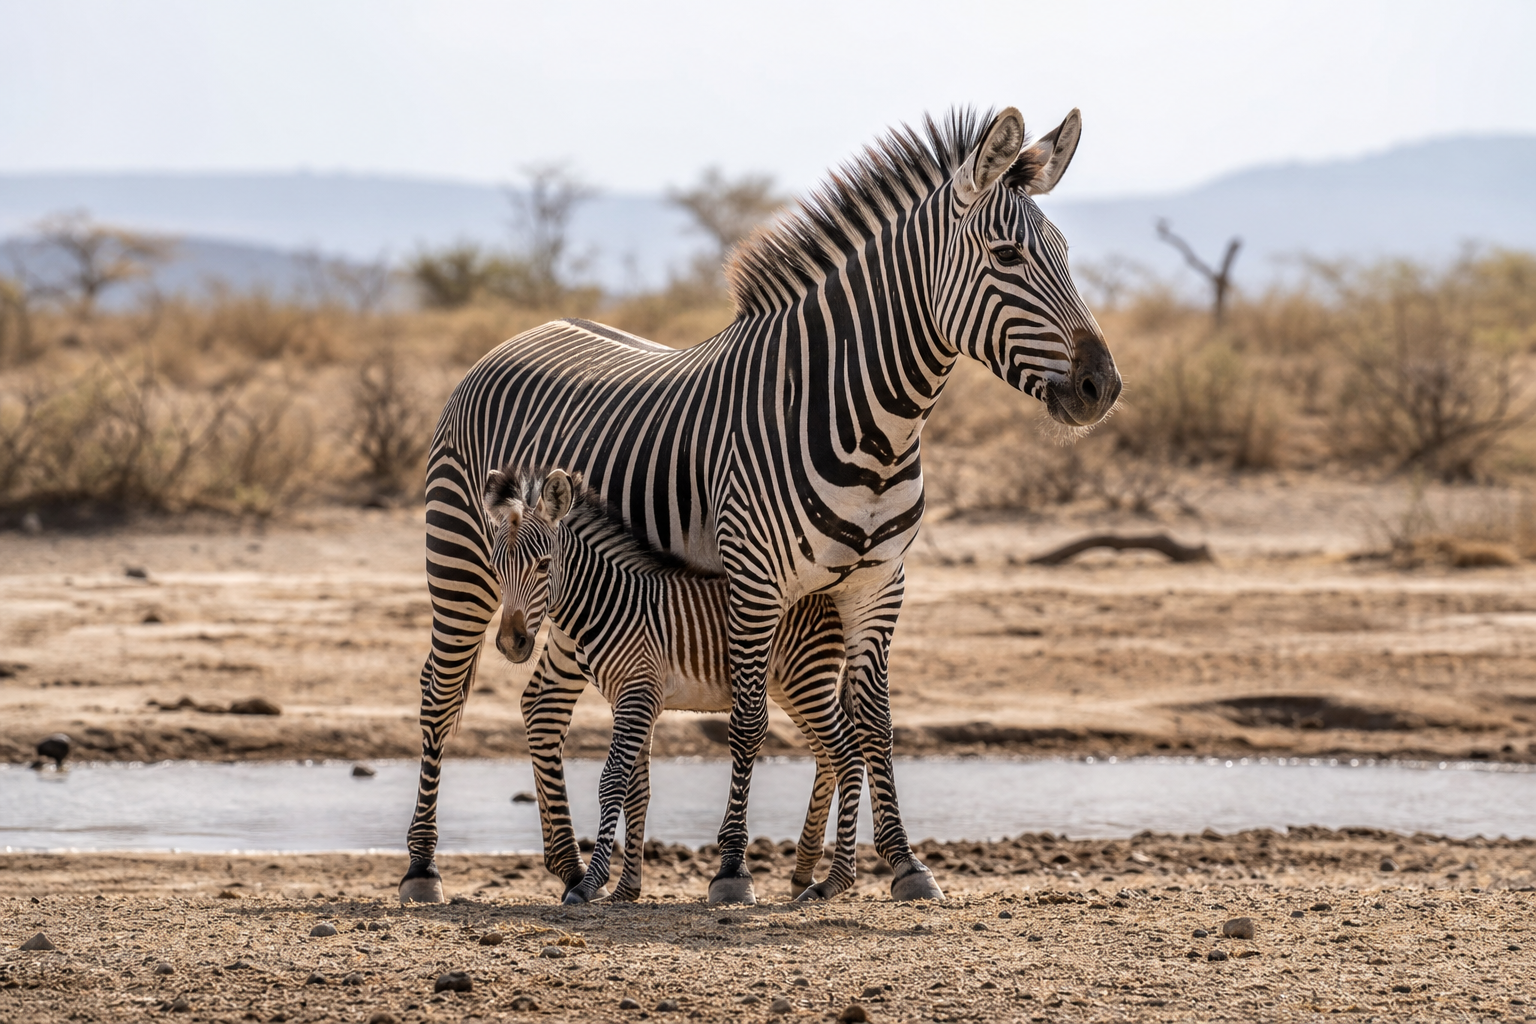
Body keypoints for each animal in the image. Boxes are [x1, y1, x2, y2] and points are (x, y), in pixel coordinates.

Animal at [485, 464, 863, 903]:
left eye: (543, 566)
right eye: (496, 568)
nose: (511, 643)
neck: (609, 603)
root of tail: (828, 592)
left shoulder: (637, 694)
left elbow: (611, 782)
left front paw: (592, 883)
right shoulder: (631, 699)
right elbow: (637, 790)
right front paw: (626, 889)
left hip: (809, 679)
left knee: (849, 755)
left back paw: (835, 880)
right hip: (794, 688)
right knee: (831, 756)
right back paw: (815, 876)